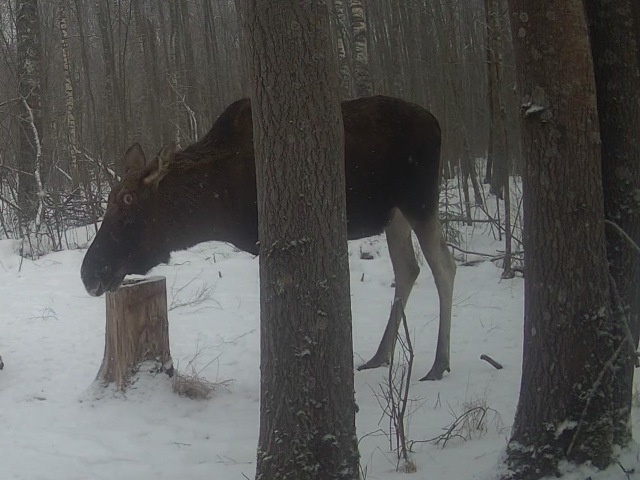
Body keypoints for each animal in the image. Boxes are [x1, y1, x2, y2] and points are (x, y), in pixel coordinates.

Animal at [80, 95, 456, 381]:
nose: (88, 273)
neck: (215, 206)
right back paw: (381, 355)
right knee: (408, 269)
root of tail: (438, 122)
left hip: (420, 199)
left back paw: (439, 364)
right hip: (395, 214)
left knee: (444, 267)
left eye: (128, 215)